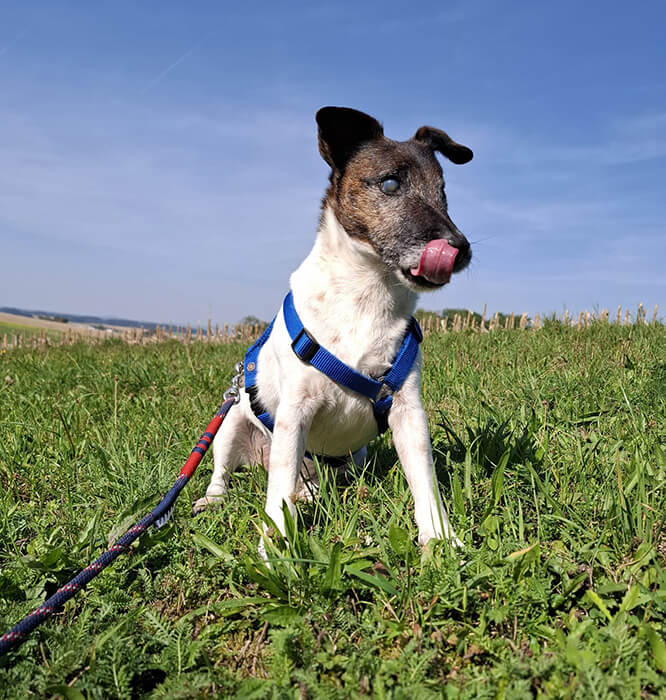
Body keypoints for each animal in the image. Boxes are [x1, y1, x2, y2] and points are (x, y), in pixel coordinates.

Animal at [194, 107, 473, 552]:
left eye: (443, 192)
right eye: (390, 183)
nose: (459, 248)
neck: (365, 296)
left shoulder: (409, 412)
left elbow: (425, 482)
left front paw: (440, 540)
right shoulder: (294, 414)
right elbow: (276, 496)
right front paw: (276, 550)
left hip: (348, 461)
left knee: (309, 484)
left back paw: (307, 493)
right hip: (231, 421)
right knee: (227, 471)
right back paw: (213, 499)